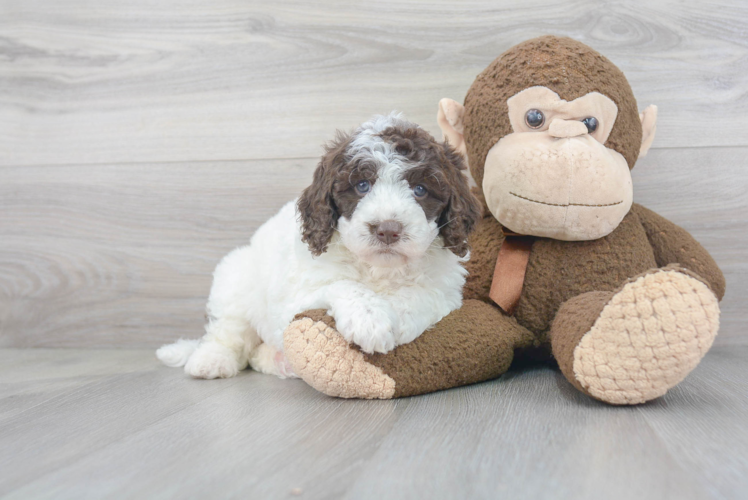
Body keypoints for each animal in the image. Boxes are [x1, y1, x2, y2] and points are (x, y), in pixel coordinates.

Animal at [156, 113, 480, 378]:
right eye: (362, 185)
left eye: (420, 189)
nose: (388, 230)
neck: (379, 268)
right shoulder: (296, 297)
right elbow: (343, 284)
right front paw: (371, 319)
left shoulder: (445, 290)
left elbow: (421, 294)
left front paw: (397, 318)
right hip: (235, 279)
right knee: (227, 331)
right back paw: (211, 361)